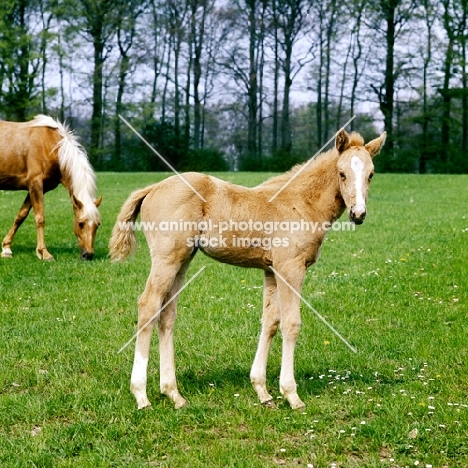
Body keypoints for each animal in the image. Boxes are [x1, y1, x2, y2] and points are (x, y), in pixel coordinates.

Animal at [109, 128, 384, 410]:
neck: (301, 203)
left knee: (166, 314)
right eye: (342, 173)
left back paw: (174, 394)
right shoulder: (291, 269)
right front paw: (291, 395)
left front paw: (262, 391)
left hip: (182, 260)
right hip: (166, 259)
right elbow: (291, 324)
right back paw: (141, 395)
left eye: (371, 174)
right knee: (148, 306)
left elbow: (270, 322)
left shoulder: (272, 271)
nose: (358, 214)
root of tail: (152, 188)